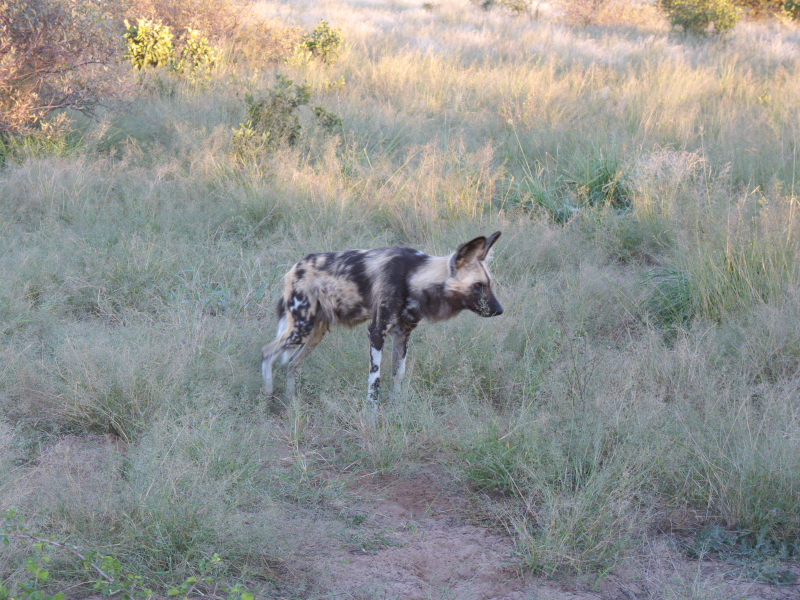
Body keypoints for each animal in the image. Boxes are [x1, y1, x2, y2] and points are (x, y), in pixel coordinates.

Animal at [261, 232, 503, 416]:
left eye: (489, 284)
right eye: (478, 286)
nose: (500, 310)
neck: (414, 276)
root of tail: (295, 267)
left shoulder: (403, 335)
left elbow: (398, 375)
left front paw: (396, 409)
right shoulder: (377, 332)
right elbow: (375, 383)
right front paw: (373, 417)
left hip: (315, 333)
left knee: (291, 363)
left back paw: (290, 401)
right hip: (300, 329)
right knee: (267, 352)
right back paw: (267, 398)